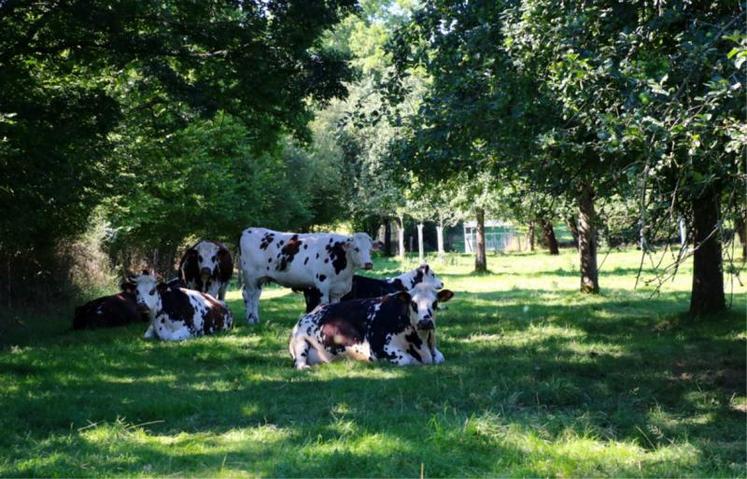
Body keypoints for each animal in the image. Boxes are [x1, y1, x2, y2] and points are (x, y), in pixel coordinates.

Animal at [238, 227, 382, 324]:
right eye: (356, 249)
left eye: (370, 249)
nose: (368, 264)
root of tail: (249, 230)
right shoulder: (322, 284)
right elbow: (324, 304)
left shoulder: (337, 289)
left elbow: (335, 305)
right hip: (250, 275)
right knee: (250, 295)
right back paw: (251, 319)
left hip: (259, 279)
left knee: (254, 295)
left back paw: (255, 319)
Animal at [289, 283, 455, 369]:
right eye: (413, 303)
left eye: (435, 303)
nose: (425, 322)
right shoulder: (380, 349)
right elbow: (407, 360)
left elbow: (440, 357)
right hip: (300, 342)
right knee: (300, 363)